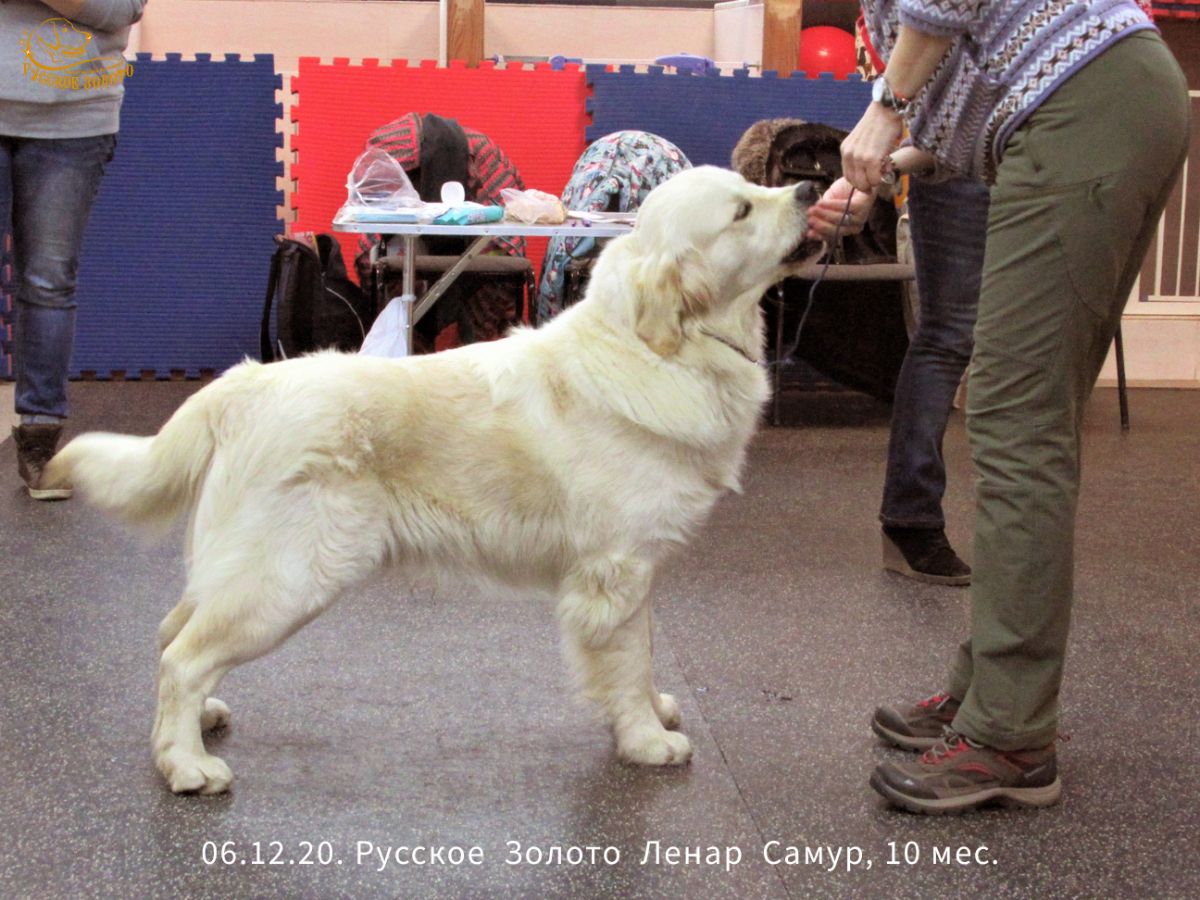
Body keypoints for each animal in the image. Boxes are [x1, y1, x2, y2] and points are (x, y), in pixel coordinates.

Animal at [46, 164, 825, 796]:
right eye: (741, 211)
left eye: (755, 188)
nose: (812, 190)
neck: (670, 346)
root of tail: (244, 383)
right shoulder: (615, 570)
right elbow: (629, 661)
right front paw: (645, 739)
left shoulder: (636, 571)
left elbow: (647, 649)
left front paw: (654, 710)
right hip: (290, 577)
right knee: (183, 656)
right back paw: (186, 766)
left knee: (172, 633)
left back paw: (192, 726)